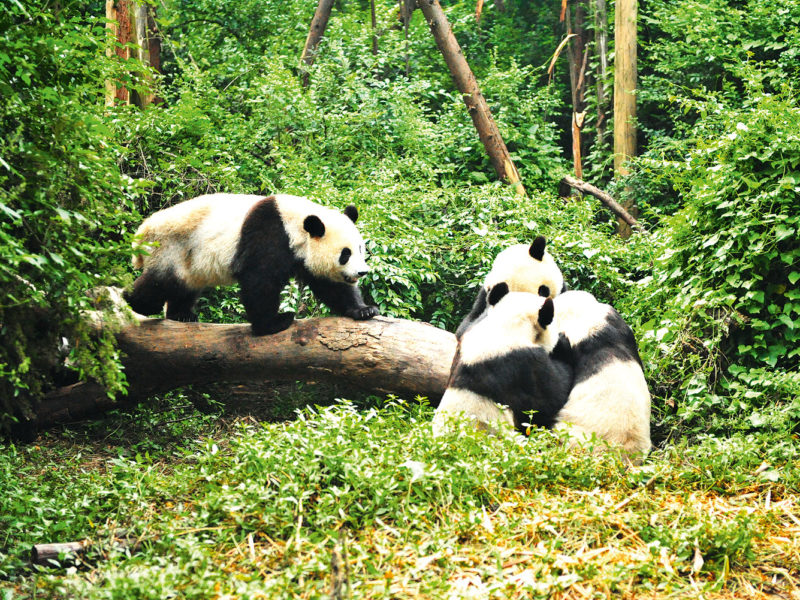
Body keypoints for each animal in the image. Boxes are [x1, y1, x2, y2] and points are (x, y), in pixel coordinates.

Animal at [124, 193, 380, 335]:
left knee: (184, 286)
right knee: (158, 284)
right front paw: (274, 323)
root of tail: (143, 231)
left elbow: (330, 285)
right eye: (345, 254)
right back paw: (130, 302)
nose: (362, 272)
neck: (296, 225)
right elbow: (260, 282)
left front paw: (364, 309)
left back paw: (182, 315)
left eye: (360, 249)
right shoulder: (269, 235)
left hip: (189, 260)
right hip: (172, 247)